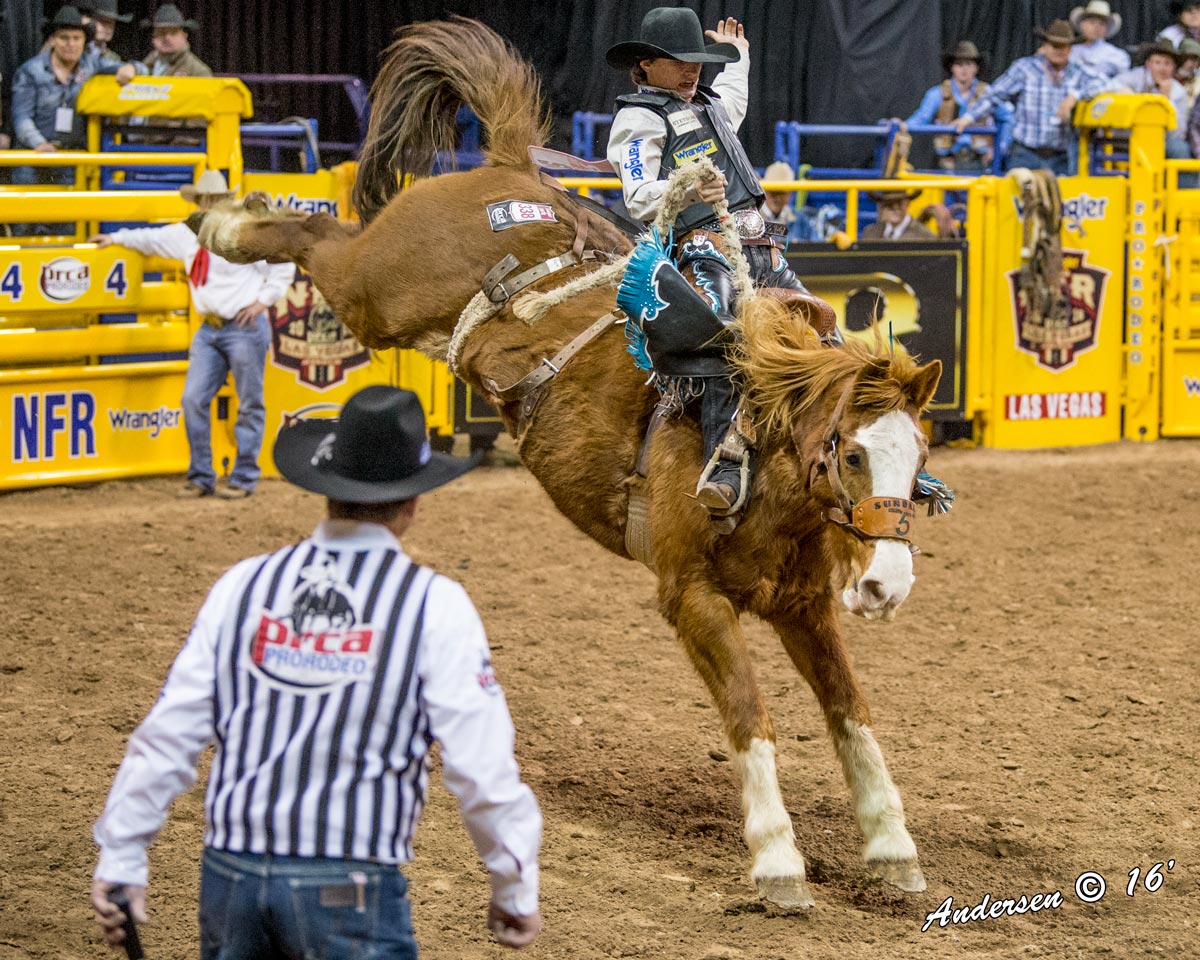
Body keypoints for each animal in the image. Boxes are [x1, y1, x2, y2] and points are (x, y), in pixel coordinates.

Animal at [192, 18, 950, 912]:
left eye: (920, 455)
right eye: (853, 452)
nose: (888, 584)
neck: (760, 463)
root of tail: (511, 168)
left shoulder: (803, 605)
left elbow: (850, 713)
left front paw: (893, 848)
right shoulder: (691, 598)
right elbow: (749, 716)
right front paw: (778, 862)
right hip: (376, 289)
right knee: (319, 239)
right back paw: (222, 219)